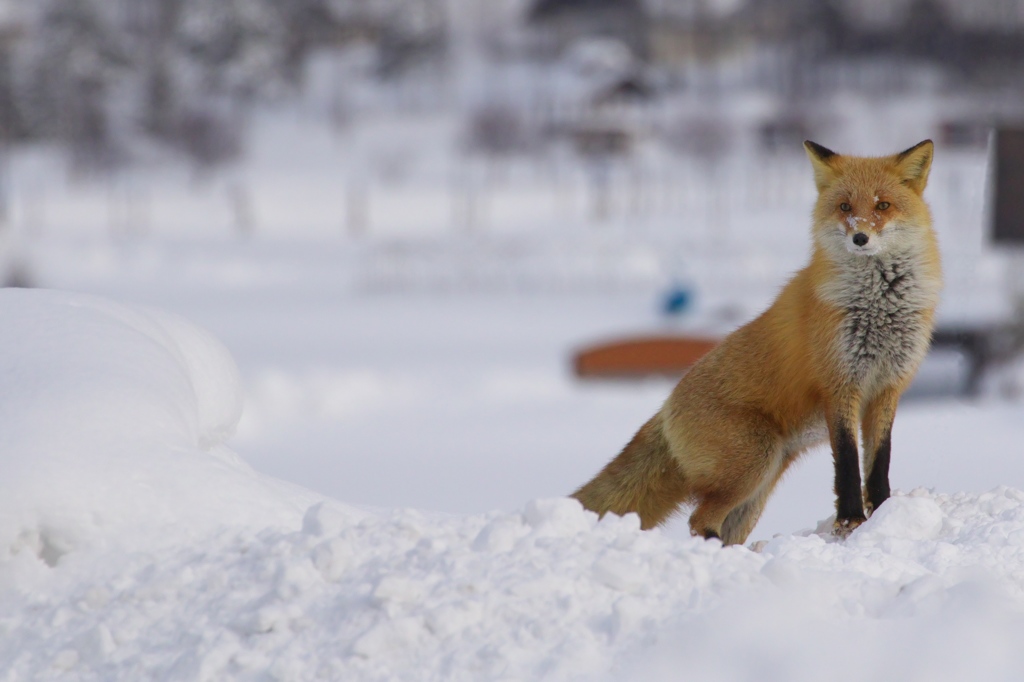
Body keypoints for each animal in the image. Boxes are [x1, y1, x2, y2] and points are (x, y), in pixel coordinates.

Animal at [573, 140, 937, 544]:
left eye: (882, 205)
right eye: (845, 207)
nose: (859, 237)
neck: (879, 307)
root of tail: (665, 407)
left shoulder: (888, 386)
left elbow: (879, 462)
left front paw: (885, 513)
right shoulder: (840, 385)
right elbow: (846, 464)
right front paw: (851, 521)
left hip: (758, 489)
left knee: (720, 525)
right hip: (753, 464)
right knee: (699, 520)